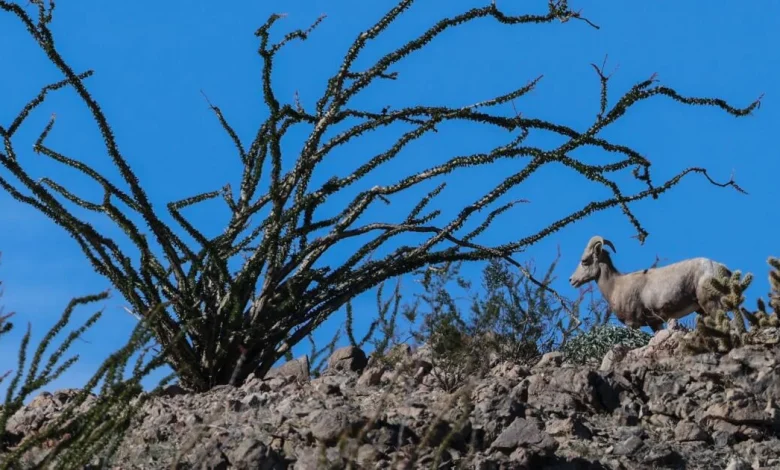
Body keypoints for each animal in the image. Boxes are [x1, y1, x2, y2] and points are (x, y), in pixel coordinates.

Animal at [568, 235, 732, 332]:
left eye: (585, 261)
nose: (571, 280)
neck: (615, 285)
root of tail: (721, 269)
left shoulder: (632, 323)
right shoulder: (655, 323)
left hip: (711, 305)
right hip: (702, 310)